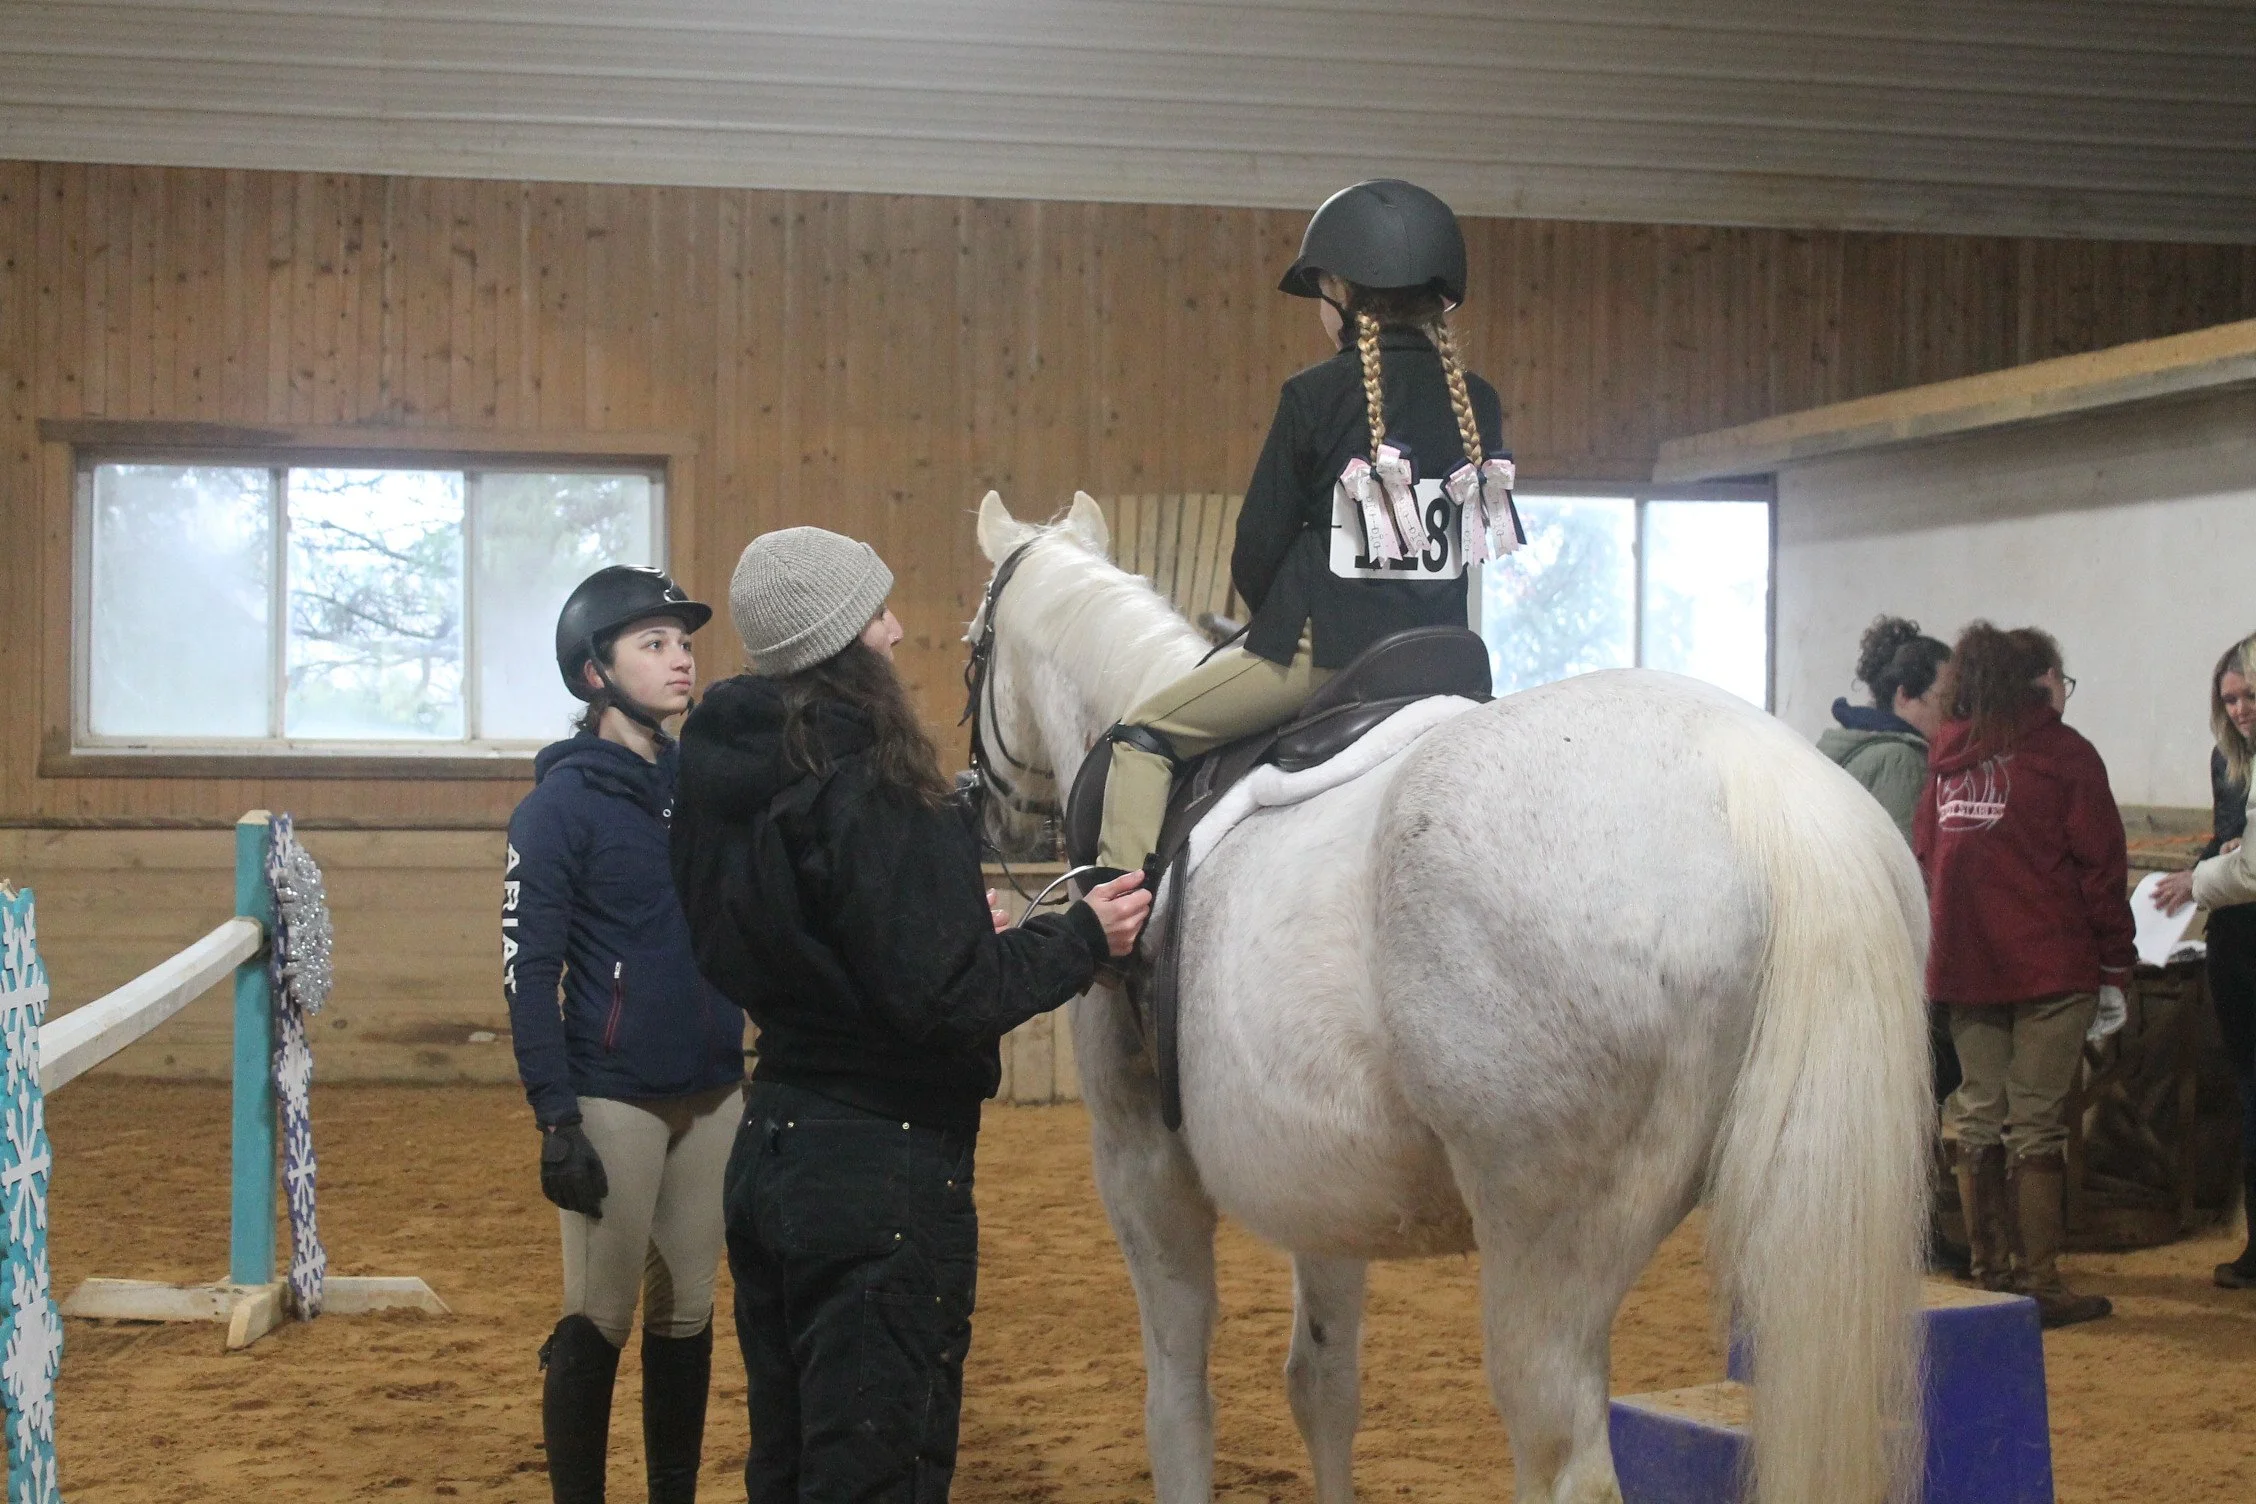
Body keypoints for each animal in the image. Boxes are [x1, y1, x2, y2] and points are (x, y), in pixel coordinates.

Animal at [966, 491, 1932, 1504]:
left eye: (973, 648)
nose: (989, 815)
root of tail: (1756, 780)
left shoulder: (1142, 1165)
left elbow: (1177, 1401)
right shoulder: (1321, 1181)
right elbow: (1322, 1386)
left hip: (1545, 1256)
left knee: (1566, 1463)